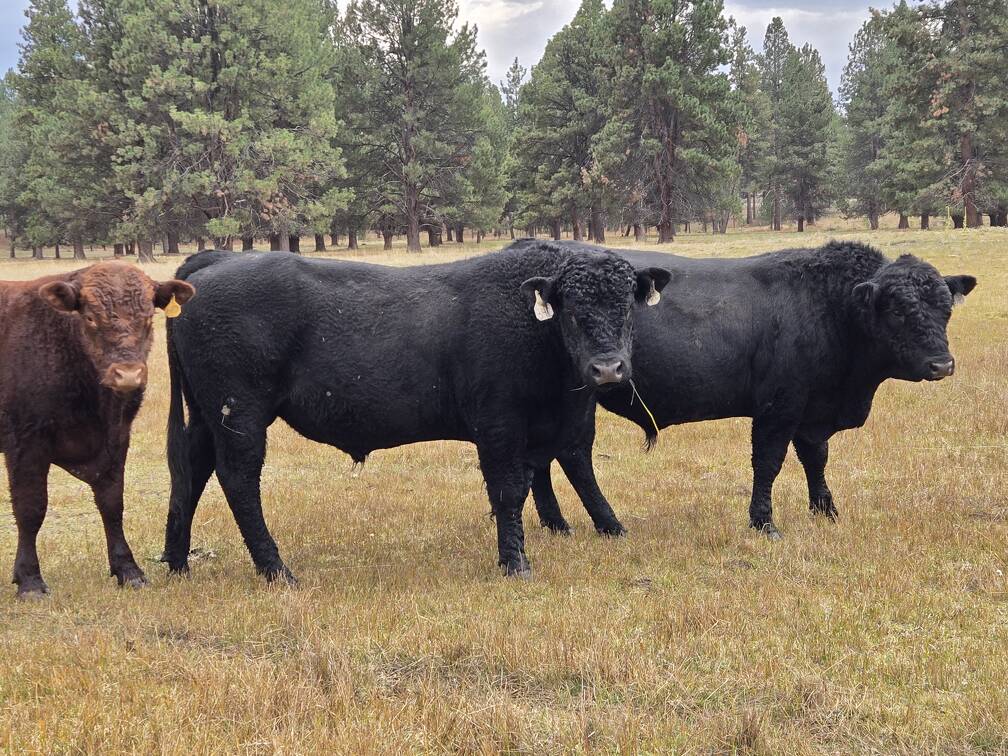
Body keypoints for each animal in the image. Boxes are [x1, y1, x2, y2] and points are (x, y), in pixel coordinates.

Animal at [0, 262, 194, 597]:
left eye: (148, 317)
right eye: (90, 317)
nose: (127, 375)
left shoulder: (116, 440)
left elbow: (112, 505)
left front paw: (128, 570)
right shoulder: (25, 443)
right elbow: (30, 508)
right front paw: (29, 580)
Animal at [159, 246, 670, 582]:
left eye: (626, 306)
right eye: (571, 309)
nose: (608, 368)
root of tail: (216, 261)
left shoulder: (555, 428)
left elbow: (553, 478)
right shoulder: (499, 425)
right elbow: (508, 491)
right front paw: (515, 563)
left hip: (206, 417)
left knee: (191, 471)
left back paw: (177, 562)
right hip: (240, 415)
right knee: (239, 481)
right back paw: (276, 570)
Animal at [522, 240, 976, 540]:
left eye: (945, 309)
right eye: (897, 310)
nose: (942, 364)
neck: (829, 307)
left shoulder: (812, 411)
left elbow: (816, 459)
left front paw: (826, 510)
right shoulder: (779, 407)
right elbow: (769, 463)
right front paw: (764, 522)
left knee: (542, 460)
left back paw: (556, 523)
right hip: (580, 399)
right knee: (574, 456)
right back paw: (607, 524)